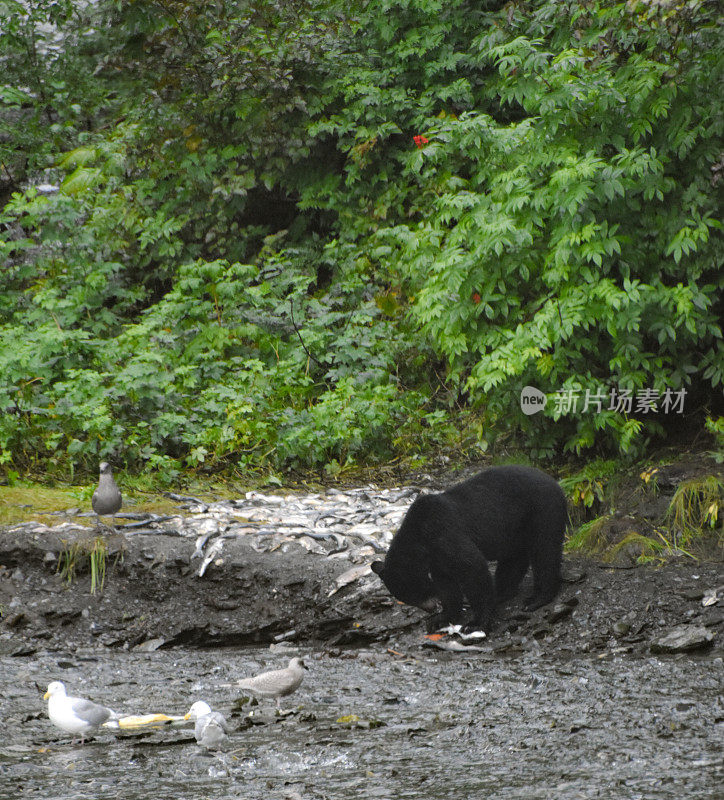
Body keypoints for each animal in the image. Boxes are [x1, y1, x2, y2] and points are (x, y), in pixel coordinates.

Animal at [370, 466, 568, 636]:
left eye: (416, 591)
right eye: (408, 598)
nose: (431, 608)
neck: (421, 538)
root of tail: (556, 483)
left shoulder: (444, 533)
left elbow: (472, 568)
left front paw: (476, 623)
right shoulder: (436, 558)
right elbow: (446, 583)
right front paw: (441, 618)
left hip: (542, 510)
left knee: (544, 551)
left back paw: (536, 598)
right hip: (515, 527)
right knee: (513, 558)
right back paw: (501, 592)